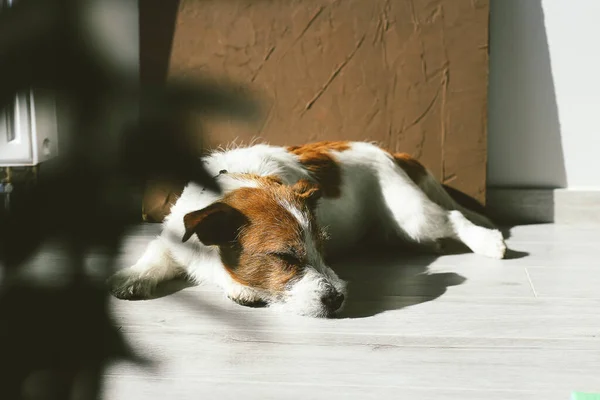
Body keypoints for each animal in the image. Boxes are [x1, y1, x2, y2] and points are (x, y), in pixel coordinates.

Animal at [109, 142, 506, 318]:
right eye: (284, 256)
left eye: (323, 249)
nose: (337, 299)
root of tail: (388, 151)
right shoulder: (174, 237)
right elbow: (154, 254)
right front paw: (132, 276)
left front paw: (241, 288)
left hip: (412, 219)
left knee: (452, 218)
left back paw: (489, 241)